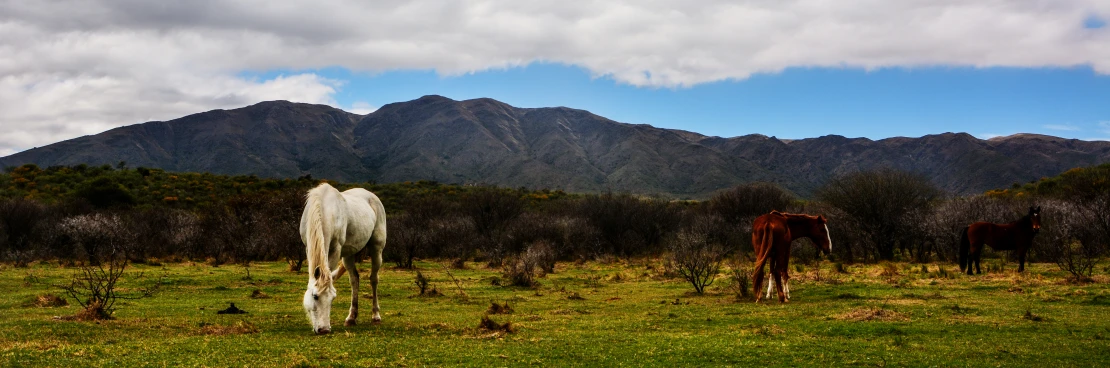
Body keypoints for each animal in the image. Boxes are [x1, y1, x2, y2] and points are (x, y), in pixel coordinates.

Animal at [301, 182, 388, 334]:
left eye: (332, 298)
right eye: (315, 296)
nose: (324, 330)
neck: (324, 208)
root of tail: (372, 196)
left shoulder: (336, 249)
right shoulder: (308, 245)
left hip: (377, 249)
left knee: (374, 279)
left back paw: (376, 316)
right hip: (349, 254)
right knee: (354, 280)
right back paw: (351, 318)